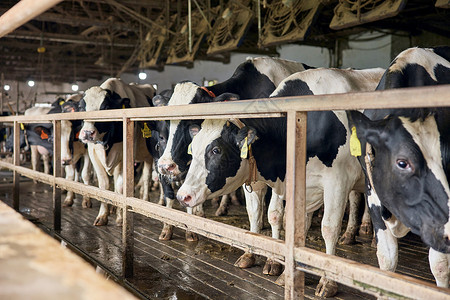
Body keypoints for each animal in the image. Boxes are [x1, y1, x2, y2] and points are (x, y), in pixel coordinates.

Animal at [80, 77, 156, 225]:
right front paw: (103, 215)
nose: (87, 133)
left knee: (146, 177)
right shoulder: (93, 154)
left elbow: (121, 186)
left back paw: (144, 200)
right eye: (82, 108)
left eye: (105, 108)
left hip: (149, 156)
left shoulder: (125, 156)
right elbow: (104, 184)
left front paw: (121, 217)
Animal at [177, 67, 386, 296]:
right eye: (194, 148)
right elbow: (287, 224)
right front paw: (287, 273)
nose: (183, 195)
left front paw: (327, 282)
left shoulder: (337, 182)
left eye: (216, 150)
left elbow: (329, 228)